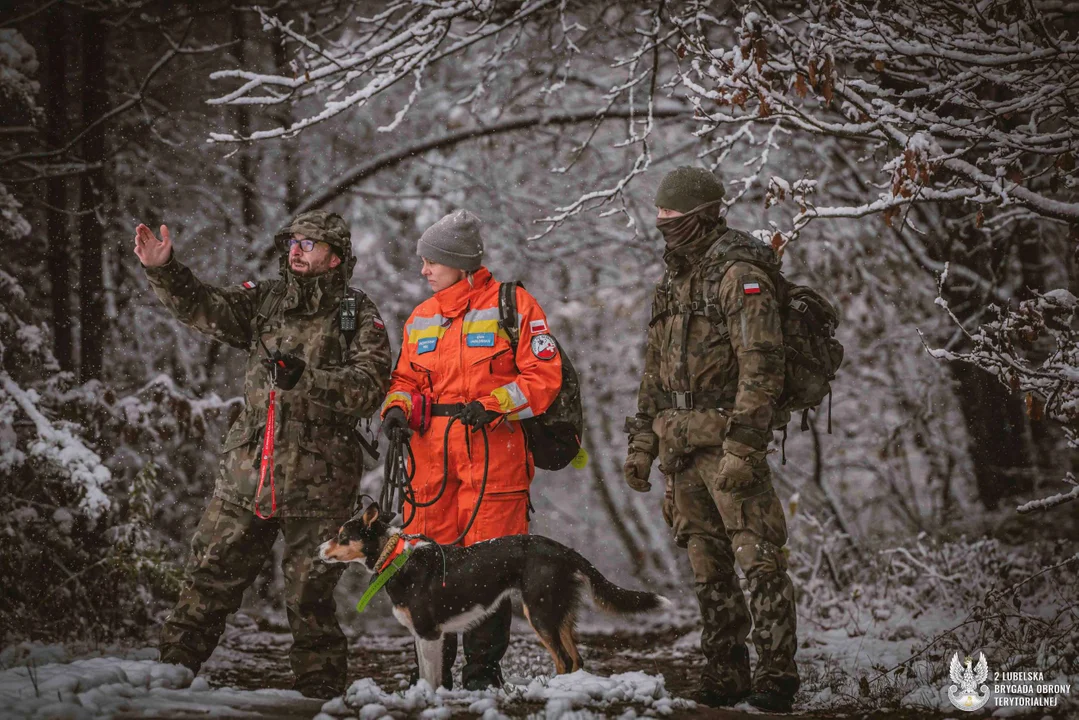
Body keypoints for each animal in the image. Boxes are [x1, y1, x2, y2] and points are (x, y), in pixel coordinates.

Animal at [317, 500, 664, 686]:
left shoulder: (429, 633)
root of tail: (563, 550)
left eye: (342, 535)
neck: (396, 557)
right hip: (559, 613)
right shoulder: (423, 635)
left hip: (539, 613)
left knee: (564, 660)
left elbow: (431, 676)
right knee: (576, 659)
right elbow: (430, 672)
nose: (318, 550)